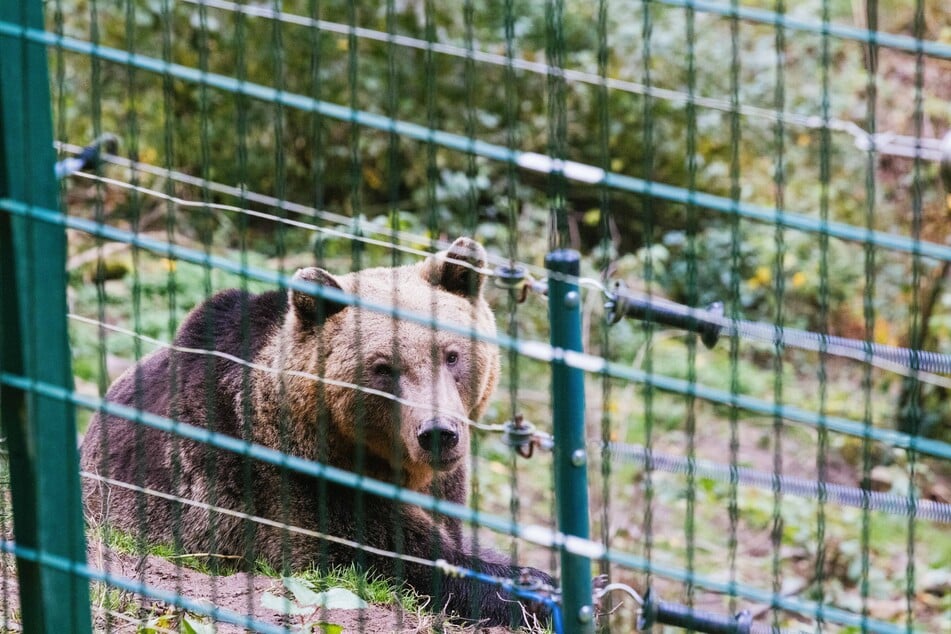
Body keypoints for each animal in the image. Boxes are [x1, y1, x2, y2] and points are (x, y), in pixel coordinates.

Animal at [82, 236, 556, 624]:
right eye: (383, 367)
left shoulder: (445, 484)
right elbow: (383, 555)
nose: (438, 432)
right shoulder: (281, 486)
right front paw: (531, 590)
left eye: (451, 354)